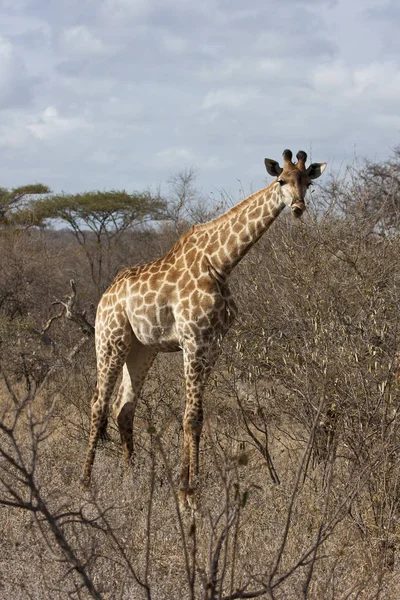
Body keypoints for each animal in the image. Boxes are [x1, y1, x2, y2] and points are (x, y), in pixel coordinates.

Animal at [80, 149, 324, 506]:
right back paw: (85, 483)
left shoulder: (213, 343)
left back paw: (131, 479)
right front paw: (191, 491)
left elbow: (195, 415)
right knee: (98, 403)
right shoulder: (194, 339)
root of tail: (106, 295)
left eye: (307, 181)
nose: (297, 207)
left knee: (123, 408)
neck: (221, 263)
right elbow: (191, 417)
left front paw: (184, 484)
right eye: (281, 180)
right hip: (111, 339)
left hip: (142, 349)